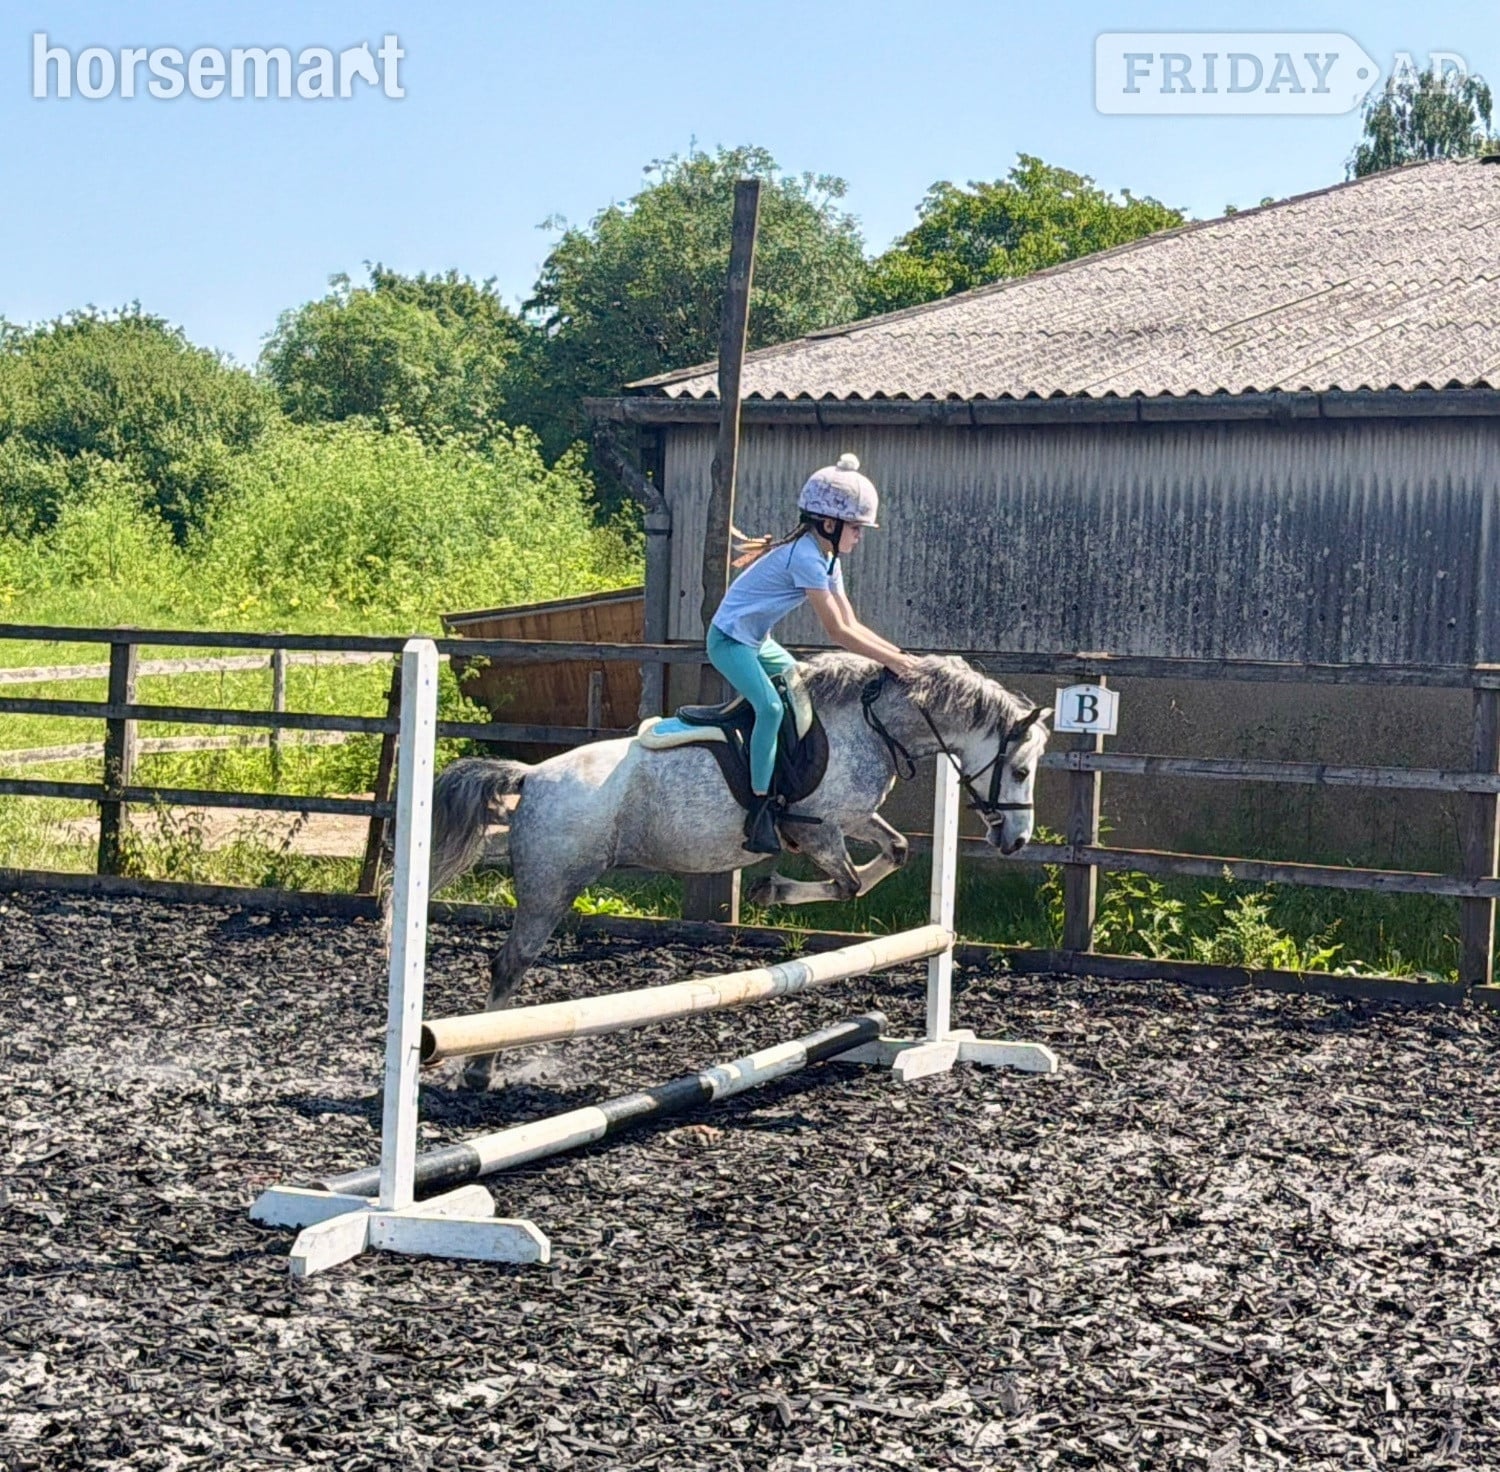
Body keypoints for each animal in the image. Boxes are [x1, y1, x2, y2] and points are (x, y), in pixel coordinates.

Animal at [425, 651, 1051, 1082]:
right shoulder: (814, 827)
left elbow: (893, 853)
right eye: (1021, 770)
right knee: (509, 965)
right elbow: (847, 883)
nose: (1016, 841)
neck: (874, 724)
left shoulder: (852, 819)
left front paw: (773, 890)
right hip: (549, 888)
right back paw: (477, 1070)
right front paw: (770, 891)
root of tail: (531, 777)